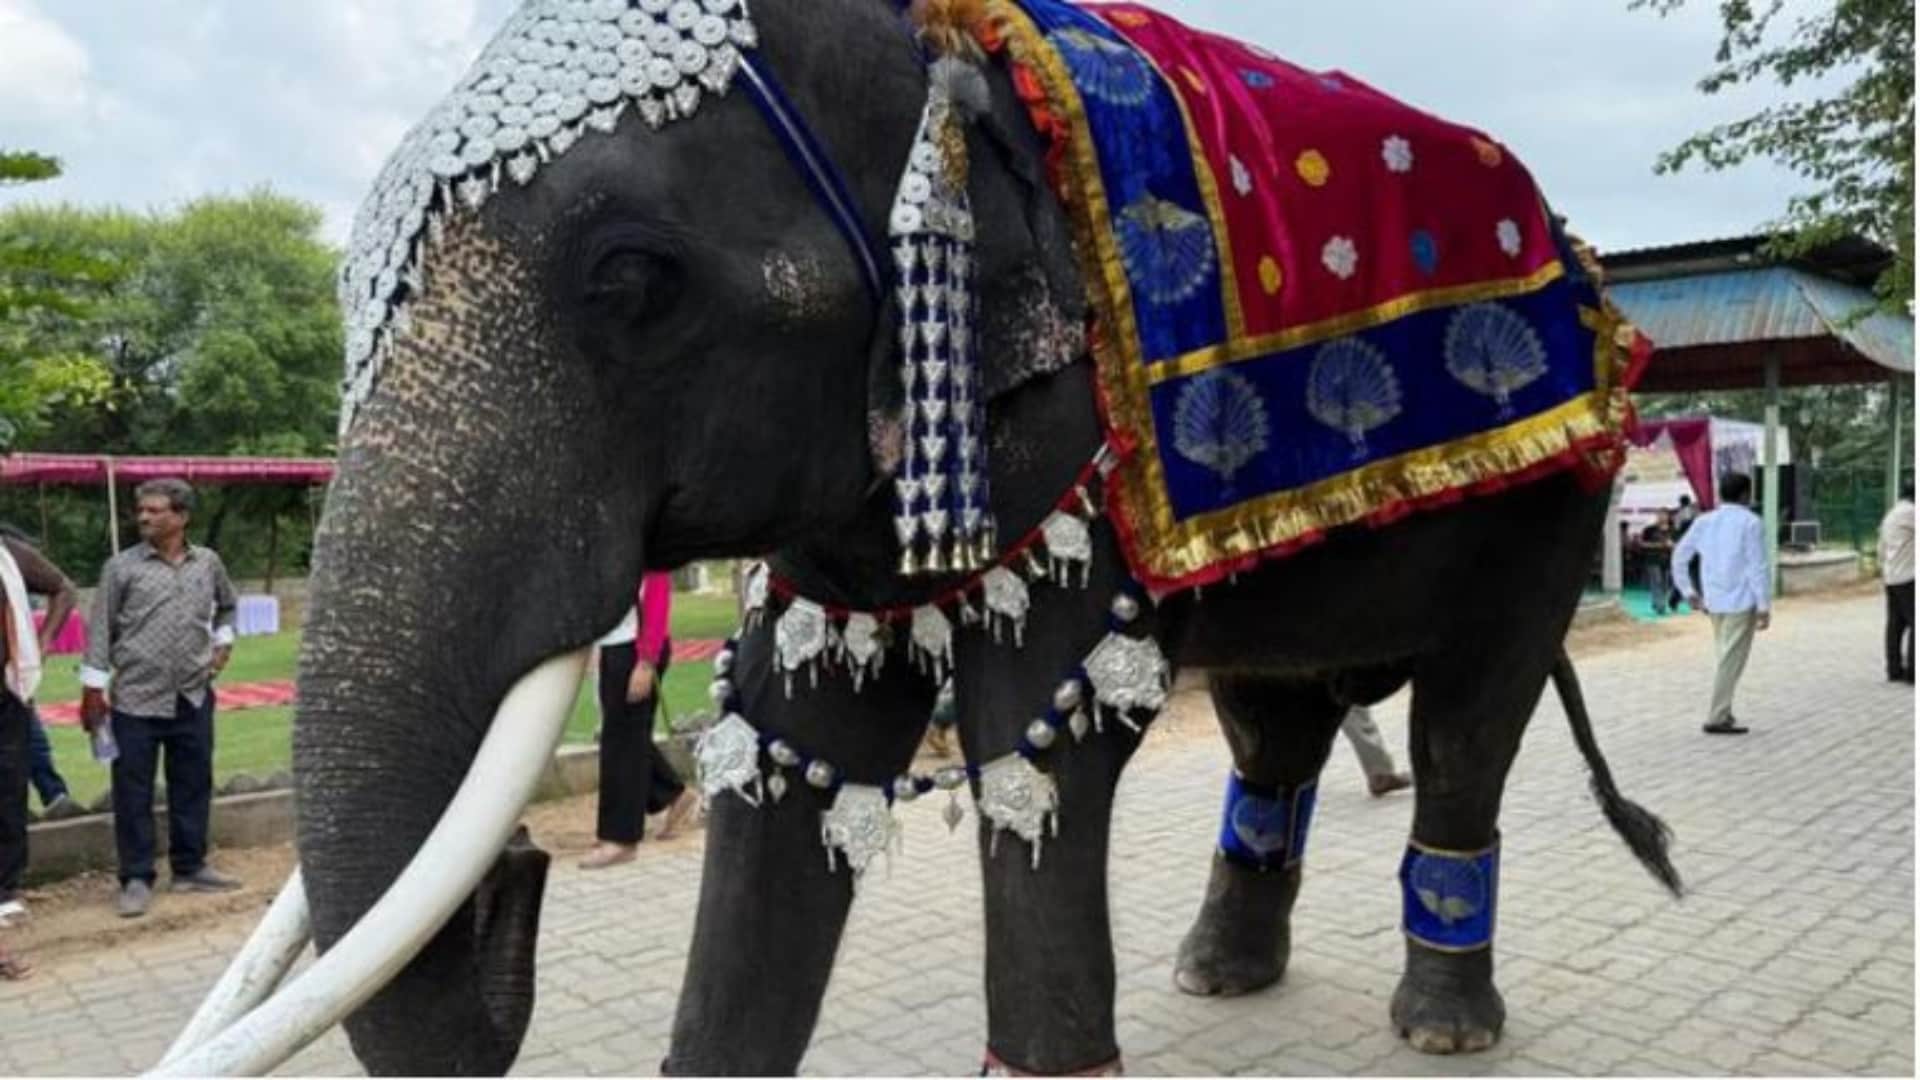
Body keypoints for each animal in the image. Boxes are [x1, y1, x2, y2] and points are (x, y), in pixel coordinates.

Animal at [157, 1, 1682, 1075]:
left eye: (635, 282)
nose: (524, 873)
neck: (929, 47)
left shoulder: (1064, 426)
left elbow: (1035, 747)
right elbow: (792, 747)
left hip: (1555, 499)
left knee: (1470, 717)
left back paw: (1441, 1024)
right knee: (1275, 721)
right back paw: (1218, 973)